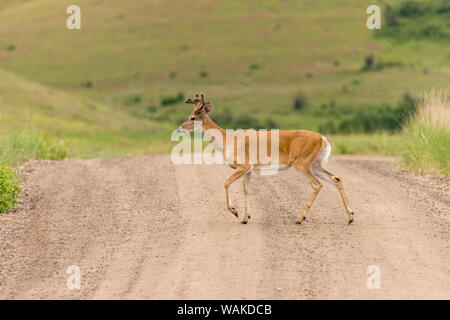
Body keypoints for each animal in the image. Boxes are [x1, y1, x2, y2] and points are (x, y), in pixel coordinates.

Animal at [178, 92, 354, 225]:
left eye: (192, 117)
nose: (179, 129)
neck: (227, 140)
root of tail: (323, 138)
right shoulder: (249, 169)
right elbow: (246, 190)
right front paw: (245, 218)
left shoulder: (243, 165)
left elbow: (226, 183)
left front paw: (235, 212)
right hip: (316, 164)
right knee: (336, 178)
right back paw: (350, 217)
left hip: (302, 163)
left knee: (317, 185)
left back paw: (300, 218)